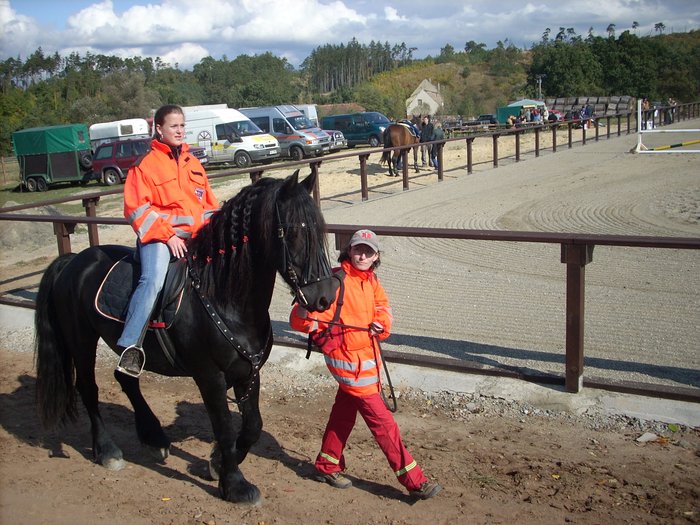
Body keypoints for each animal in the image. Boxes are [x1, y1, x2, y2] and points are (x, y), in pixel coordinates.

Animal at [33, 169, 340, 504]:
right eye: (295, 231)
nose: (324, 297)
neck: (223, 296)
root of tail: (73, 261)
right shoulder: (209, 376)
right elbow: (224, 426)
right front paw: (235, 485)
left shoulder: (249, 370)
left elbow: (253, 426)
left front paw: (217, 463)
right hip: (82, 342)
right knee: (88, 389)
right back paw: (108, 451)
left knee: (126, 378)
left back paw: (154, 437)